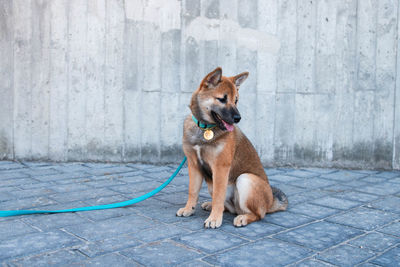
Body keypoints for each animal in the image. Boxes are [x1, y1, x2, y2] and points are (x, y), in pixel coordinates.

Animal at [176, 67, 288, 228]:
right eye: (222, 99)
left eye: (236, 101)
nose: (238, 118)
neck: (204, 128)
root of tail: (270, 202)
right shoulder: (194, 165)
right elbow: (193, 191)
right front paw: (188, 209)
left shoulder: (220, 168)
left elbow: (218, 195)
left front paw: (214, 219)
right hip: (213, 184)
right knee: (228, 207)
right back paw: (211, 205)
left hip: (245, 179)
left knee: (258, 214)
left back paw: (243, 218)